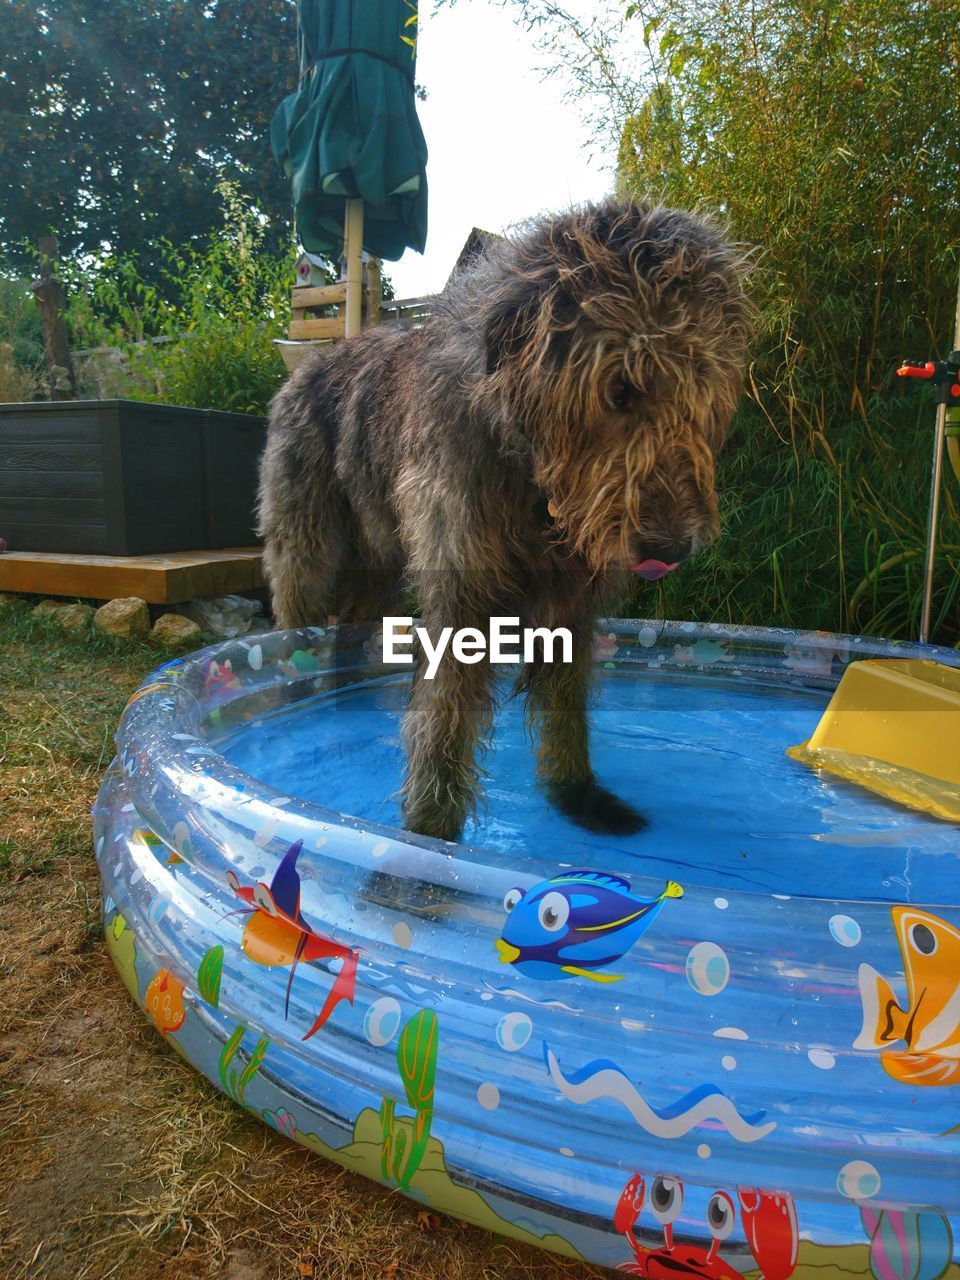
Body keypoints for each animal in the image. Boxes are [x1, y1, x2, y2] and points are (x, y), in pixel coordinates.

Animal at [259, 197, 757, 839]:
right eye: (619, 390)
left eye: (703, 394)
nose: (671, 551)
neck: (534, 486)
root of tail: (307, 365)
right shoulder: (461, 587)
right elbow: (444, 719)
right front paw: (426, 840)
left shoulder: (572, 602)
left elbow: (566, 705)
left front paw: (577, 794)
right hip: (308, 545)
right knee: (295, 613)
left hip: (378, 558)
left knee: (351, 625)